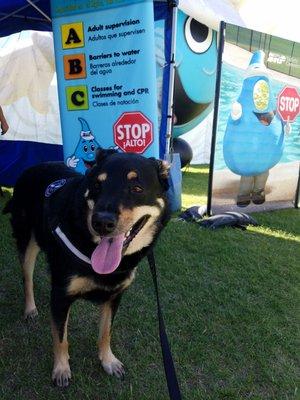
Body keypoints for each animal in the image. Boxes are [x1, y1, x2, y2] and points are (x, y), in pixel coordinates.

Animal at [4, 148, 170, 386]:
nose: (101, 222)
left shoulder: (115, 296)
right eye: (98, 185)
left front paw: (108, 361)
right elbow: (61, 338)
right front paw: (61, 369)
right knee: (27, 278)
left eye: (137, 188)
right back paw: (30, 309)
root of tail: (32, 167)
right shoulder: (61, 295)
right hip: (27, 240)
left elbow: (106, 331)